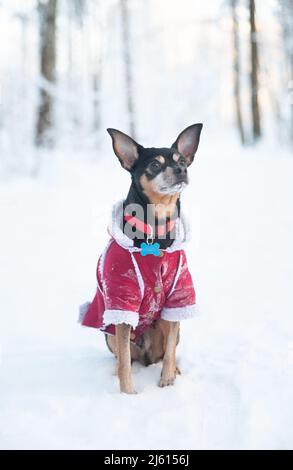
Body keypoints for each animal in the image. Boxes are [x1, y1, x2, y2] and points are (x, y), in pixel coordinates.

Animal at [80, 124, 203, 392]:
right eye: (155, 165)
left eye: (182, 161)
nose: (181, 170)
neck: (155, 231)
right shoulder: (122, 301)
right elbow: (125, 362)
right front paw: (127, 394)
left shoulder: (177, 297)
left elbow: (170, 351)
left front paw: (167, 380)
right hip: (110, 333)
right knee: (122, 356)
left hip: (166, 324)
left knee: (167, 350)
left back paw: (175, 369)